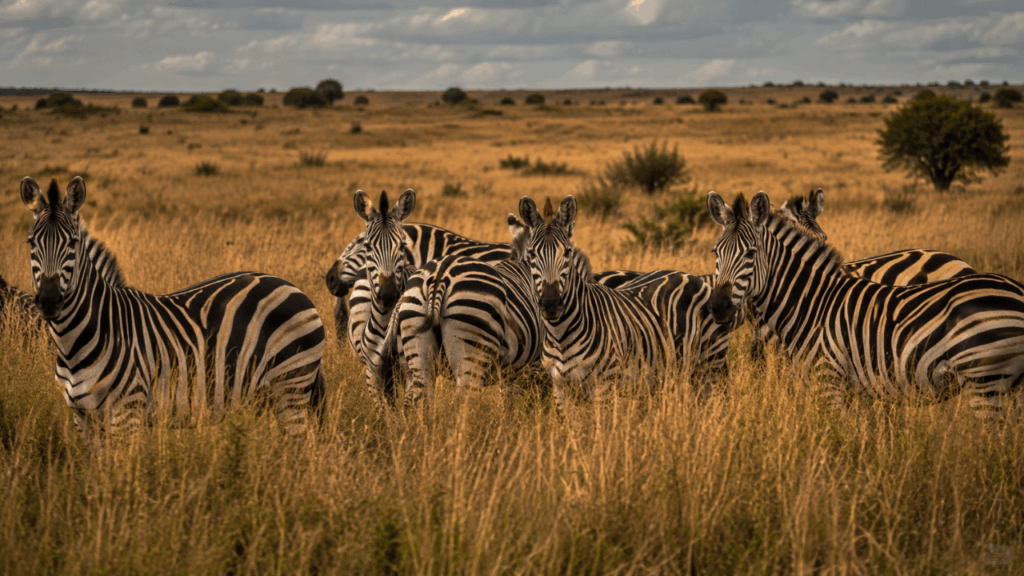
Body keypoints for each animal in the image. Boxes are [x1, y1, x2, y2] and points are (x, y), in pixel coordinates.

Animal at [20, 176, 326, 439]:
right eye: (31, 242)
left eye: (72, 243)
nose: (49, 301)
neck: (75, 344)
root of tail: (293, 287)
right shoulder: (82, 418)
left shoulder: (127, 411)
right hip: (268, 394)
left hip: (291, 387)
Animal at [367, 214, 545, 407]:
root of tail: (439, 276)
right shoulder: (532, 365)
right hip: (473, 343)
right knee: (463, 402)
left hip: (416, 346)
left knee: (420, 398)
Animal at [519, 195, 735, 413]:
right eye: (531, 254)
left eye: (567, 253)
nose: (551, 303)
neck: (560, 334)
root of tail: (691, 276)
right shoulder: (561, 390)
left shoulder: (605, 386)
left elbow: (600, 424)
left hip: (709, 364)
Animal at [707, 190, 1024, 418]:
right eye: (715, 252)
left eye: (750, 253)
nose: (719, 306)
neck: (812, 302)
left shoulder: (829, 380)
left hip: (985, 381)